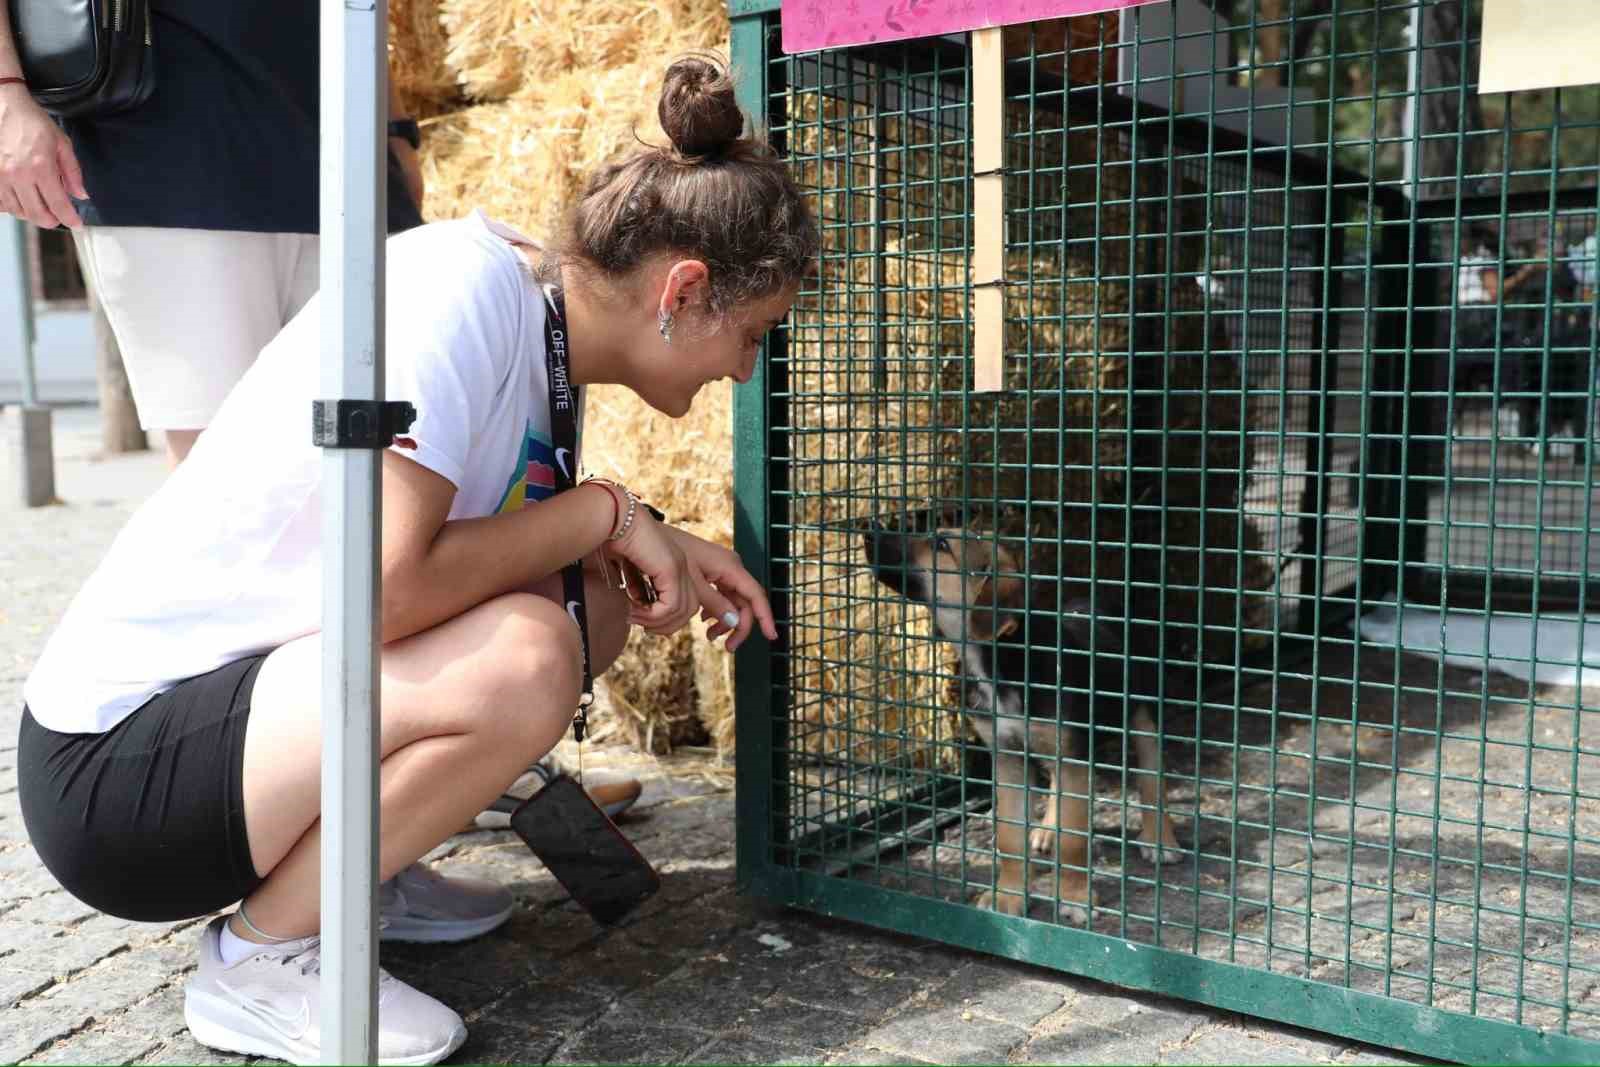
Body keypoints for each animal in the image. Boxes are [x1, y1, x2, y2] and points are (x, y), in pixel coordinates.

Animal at [857, 515, 1184, 921]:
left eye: (941, 545)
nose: (867, 531)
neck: (1000, 661)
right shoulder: (1009, 756)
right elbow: (1011, 836)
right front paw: (1010, 895)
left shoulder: (1070, 753)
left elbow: (1074, 840)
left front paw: (1075, 896)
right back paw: (1047, 830)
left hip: (1143, 717)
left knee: (1152, 781)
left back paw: (1160, 840)